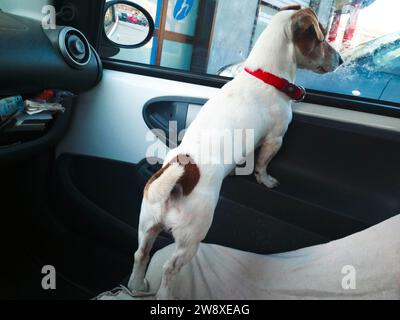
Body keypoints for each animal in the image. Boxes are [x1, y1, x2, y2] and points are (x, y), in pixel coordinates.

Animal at [130, 5, 342, 300]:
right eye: (322, 38)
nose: (341, 59)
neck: (265, 75)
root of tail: (180, 175)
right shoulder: (275, 138)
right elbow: (262, 164)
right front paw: (265, 180)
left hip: (147, 222)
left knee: (141, 253)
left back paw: (137, 285)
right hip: (192, 236)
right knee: (169, 269)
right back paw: (165, 294)